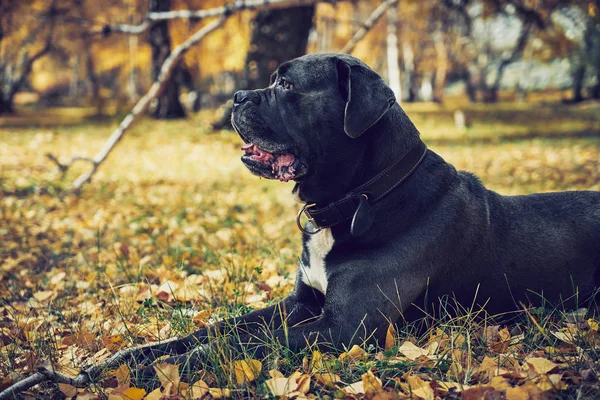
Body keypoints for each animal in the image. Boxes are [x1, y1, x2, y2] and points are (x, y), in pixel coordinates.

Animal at [143, 50, 600, 376]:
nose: (236, 96)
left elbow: (242, 343)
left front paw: (166, 369)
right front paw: (135, 357)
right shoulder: (300, 303)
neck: (362, 198)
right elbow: (220, 328)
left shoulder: (345, 326)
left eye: (287, 84)